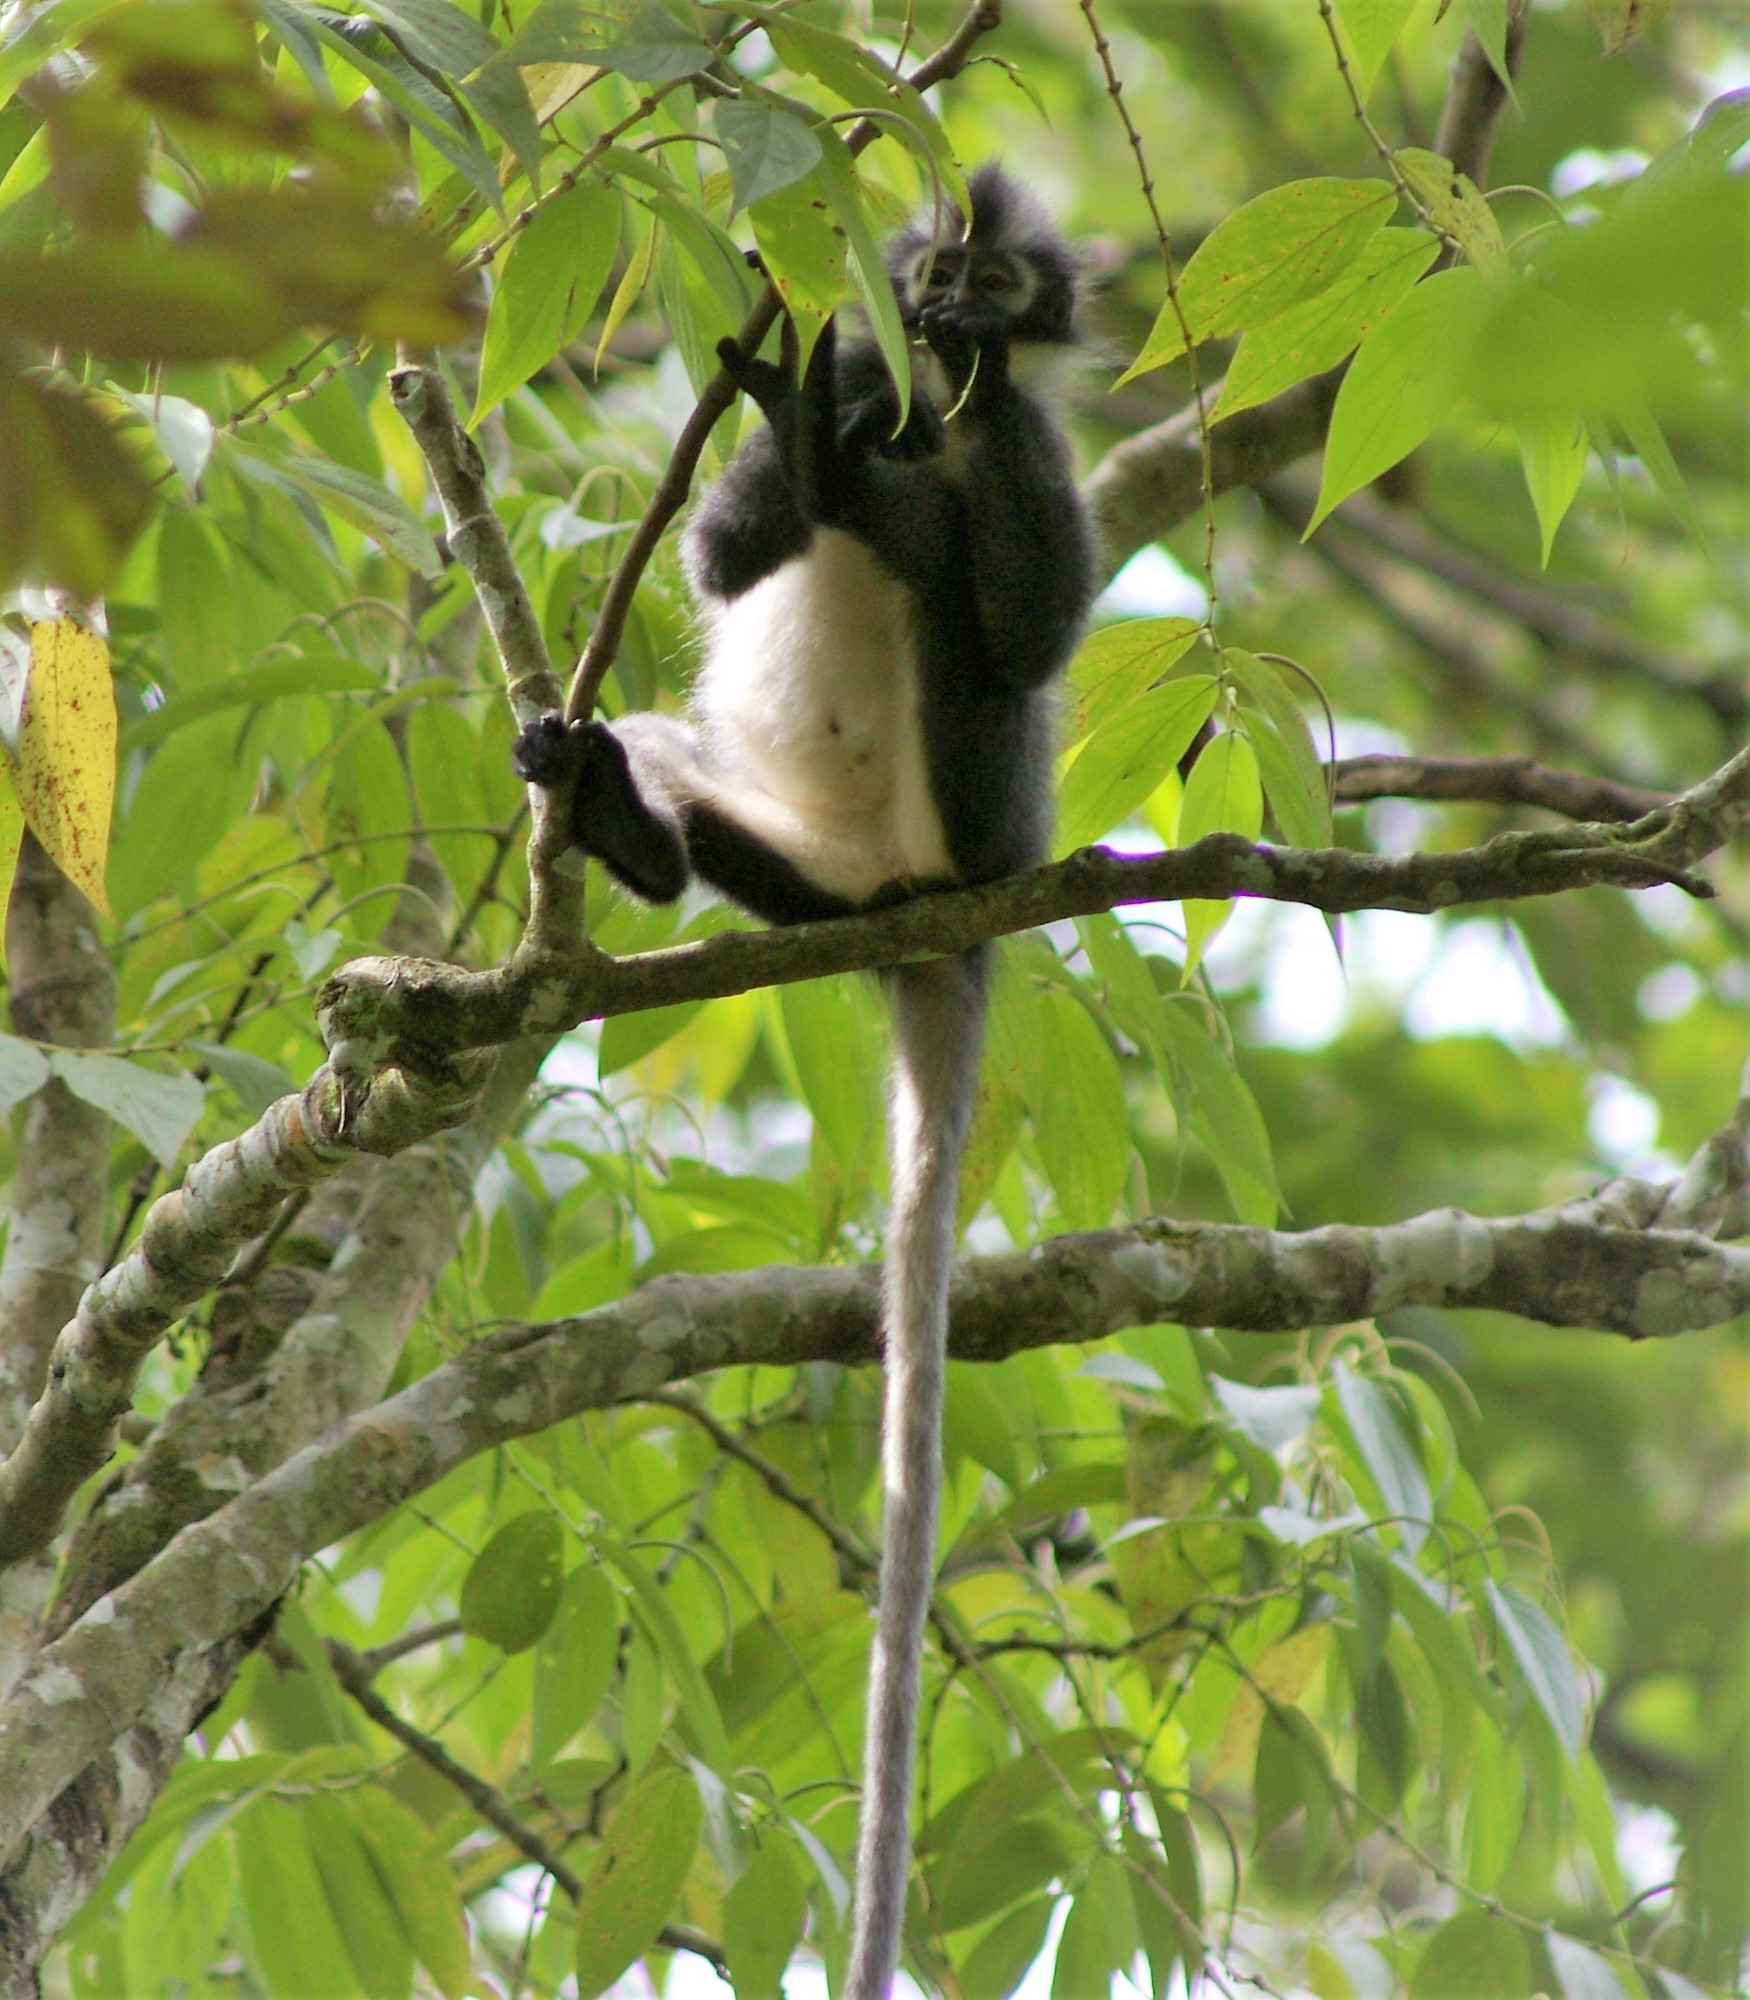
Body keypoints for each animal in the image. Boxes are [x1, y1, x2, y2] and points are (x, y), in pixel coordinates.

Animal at [514, 165, 1096, 1998]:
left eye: (1000, 281)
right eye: (930, 266)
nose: (948, 313)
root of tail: (904, 905)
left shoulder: (1031, 438)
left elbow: (1032, 630)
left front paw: (898, 439)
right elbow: (718, 554)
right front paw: (815, 424)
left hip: (988, 818)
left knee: (981, 654)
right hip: (784, 849)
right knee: (666, 759)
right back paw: (628, 826)